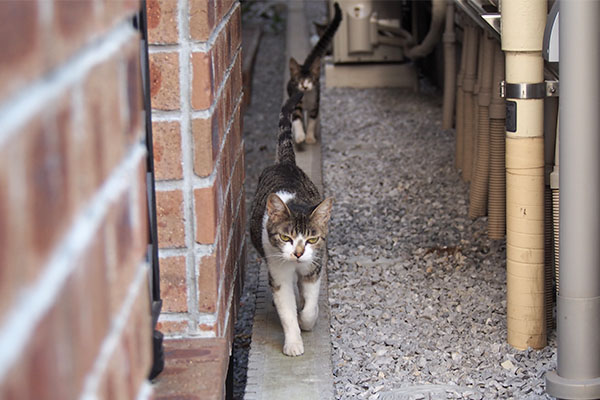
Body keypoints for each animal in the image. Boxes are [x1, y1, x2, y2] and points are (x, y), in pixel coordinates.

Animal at [248, 93, 332, 356]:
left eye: (312, 239)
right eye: (286, 237)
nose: (298, 253)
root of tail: (284, 163)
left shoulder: (313, 266)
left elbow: (310, 303)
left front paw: (307, 320)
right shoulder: (278, 274)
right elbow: (286, 312)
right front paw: (294, 343)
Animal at [288, 1, 342, 145]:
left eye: (310, 79)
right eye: (299, 80)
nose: (305, 86)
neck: (306, 97)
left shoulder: (314, 104)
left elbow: (312, 121)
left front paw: (310, 137)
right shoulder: (295, 103)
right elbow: (296, 119)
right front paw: (300, 136)